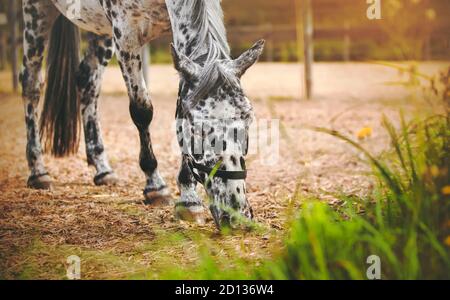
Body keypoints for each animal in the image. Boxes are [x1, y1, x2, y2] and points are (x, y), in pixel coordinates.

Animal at [20, 0, 264, 227]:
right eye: (197, 129)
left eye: (248, 121)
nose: (236, 214)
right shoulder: (126, 34)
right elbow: (142, 110)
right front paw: (155, 185)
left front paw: (188, 198)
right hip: (36, 13)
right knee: (31, 83)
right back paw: (38, 171)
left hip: (100, 32)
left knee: (87, 81)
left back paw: (102, 168)